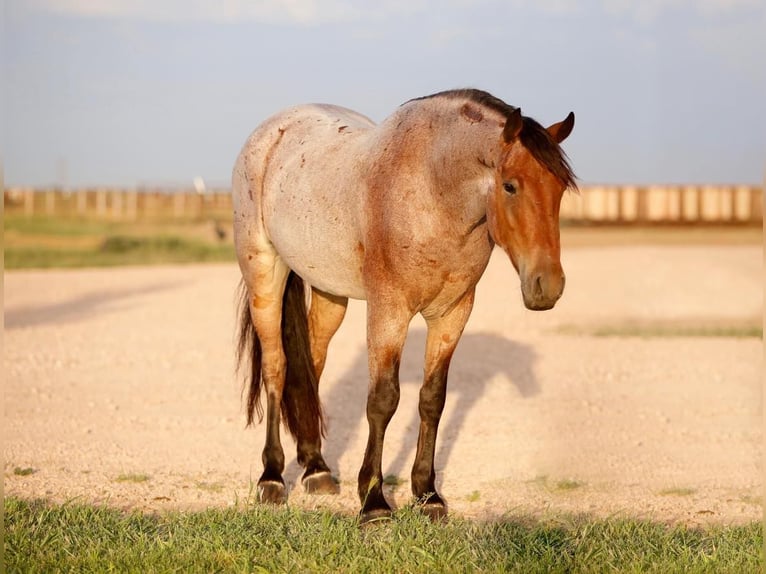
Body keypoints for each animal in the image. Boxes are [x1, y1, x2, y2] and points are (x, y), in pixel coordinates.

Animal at [234, 88, 576, 524]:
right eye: (510, 186)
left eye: (560, 189)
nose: (547, 286)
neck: (431, 190)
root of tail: (270, 134)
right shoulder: (389, 312)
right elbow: (383, 400)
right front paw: (374, 503)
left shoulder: (452, 313)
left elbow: (432, 399)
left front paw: (427, 494)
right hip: (264, 275)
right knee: (276, 367)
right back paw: (273, 478)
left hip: (330, 294)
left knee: (310, 365)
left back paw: (316, 469)